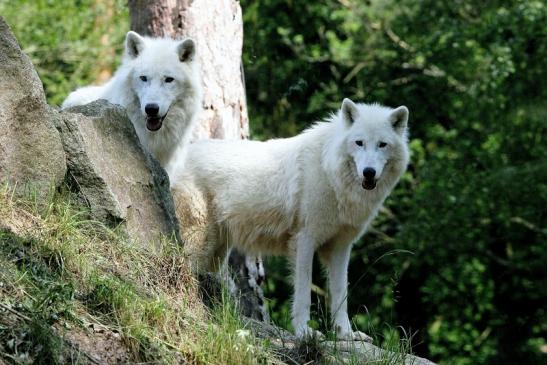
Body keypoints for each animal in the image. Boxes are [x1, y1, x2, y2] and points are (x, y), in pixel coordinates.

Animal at [172, 99, 412, 338]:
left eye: (382, 144)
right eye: (359, 143)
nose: (369, 172)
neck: (329, 172)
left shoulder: (340, 248)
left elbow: (340, 295)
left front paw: (346, 335)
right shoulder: (304, 241)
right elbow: (304, 293)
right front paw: (305, 332)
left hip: (216, 252)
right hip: (200, 243)